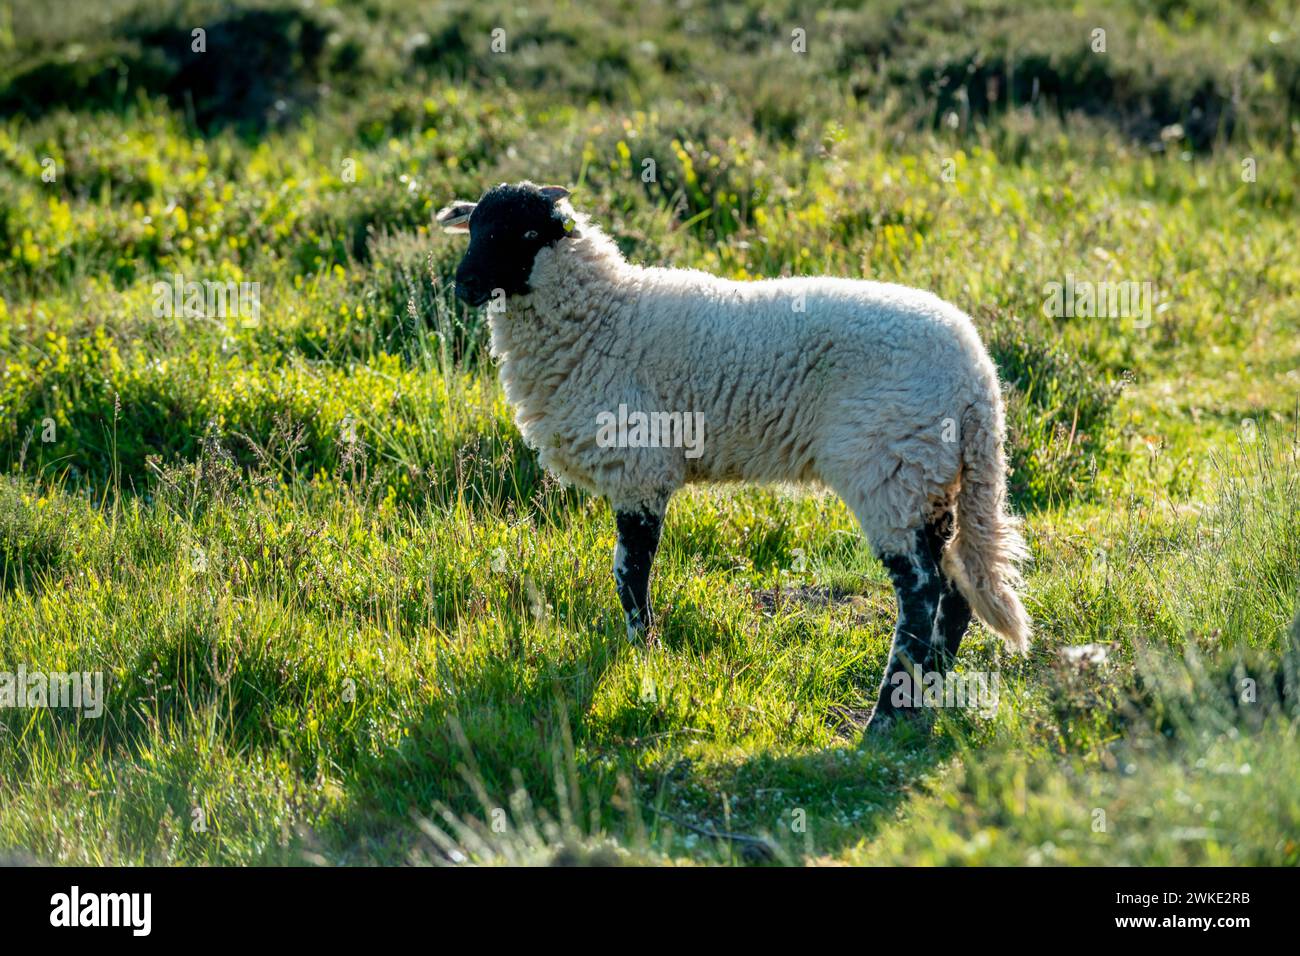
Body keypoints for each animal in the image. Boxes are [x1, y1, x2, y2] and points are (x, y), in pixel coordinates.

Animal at [437, 181, 1030, 731]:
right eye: (474, 228)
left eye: (527, 233)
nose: (465, 285)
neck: (601, 316)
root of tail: (978, 381)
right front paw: (642, 649)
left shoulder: (639, 468)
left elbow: (630, 570)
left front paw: (644, 651)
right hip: (933, 475)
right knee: (955, 586)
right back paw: (927, 693)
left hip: (889, 467)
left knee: (921, 592)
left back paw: (885, 716)